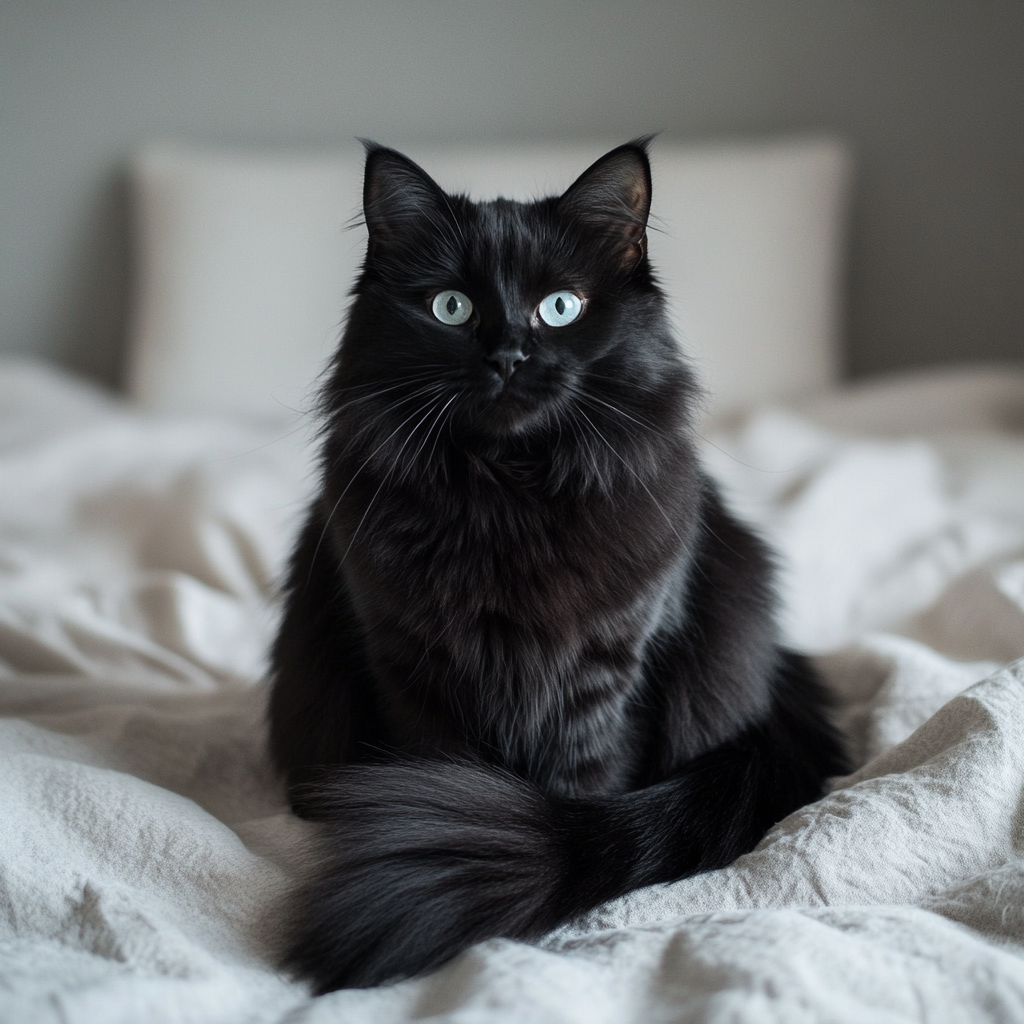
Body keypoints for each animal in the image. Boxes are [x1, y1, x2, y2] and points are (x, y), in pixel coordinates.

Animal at [270, 138, 847, 991]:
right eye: (451, 308)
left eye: (560, 308)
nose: (508, 354)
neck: (507, 500)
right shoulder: (413, 668)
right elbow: (451, 778)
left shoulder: (609, 669)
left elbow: (578, 796)